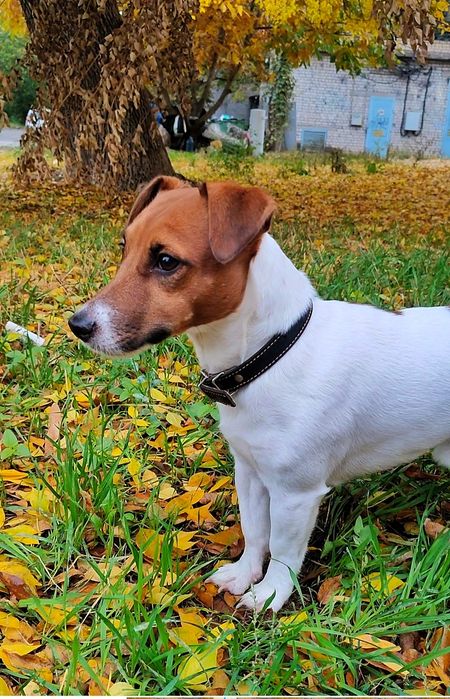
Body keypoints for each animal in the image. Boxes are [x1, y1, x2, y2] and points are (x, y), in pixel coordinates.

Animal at [69, 176, 450, 612]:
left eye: (166, 260)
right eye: (123, 246)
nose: (77, 325)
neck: (275, 352)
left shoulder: (296, 493)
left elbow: (283, 552)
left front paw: (269, 594)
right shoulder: (250, 472)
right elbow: (255, 531)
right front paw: (244, 574)